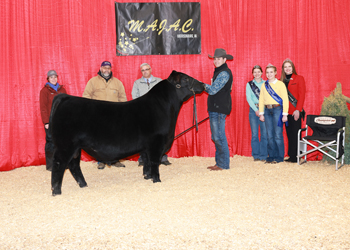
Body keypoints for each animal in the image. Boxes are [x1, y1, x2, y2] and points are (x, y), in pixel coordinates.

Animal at [47, 70, 204, 195]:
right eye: (186, 79)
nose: (203, 84)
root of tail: (65, 97)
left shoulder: (146, 146)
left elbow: (146, 162)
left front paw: (147, 177)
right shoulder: (156, 143)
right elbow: (154, 162)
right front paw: (157, 180)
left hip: (76, 148)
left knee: (74, 165)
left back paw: (83, 185)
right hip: (65, 145)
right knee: (59, 165)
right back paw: (56, 191)